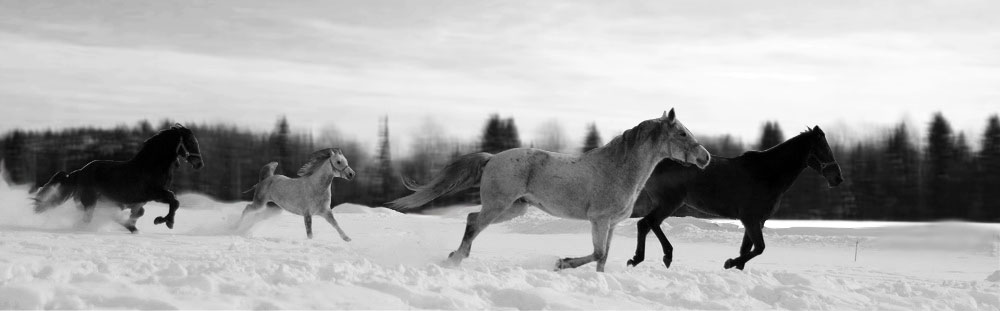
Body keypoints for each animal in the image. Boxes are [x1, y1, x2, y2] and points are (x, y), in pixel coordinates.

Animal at [33, 123, 205, 233]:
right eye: (190, 141)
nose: (199, 164)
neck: (151, 166)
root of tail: (80, 171)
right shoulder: (155, 193)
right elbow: (175, 201)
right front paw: (166, 222)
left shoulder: (143, 200)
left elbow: (140, 213)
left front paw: (143, 224)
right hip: (91, 200)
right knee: (88, 218)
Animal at [390, 110, 712, 272]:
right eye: (681, 133)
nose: (705, 158)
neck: (618, 169)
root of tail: (492, 158)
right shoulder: (599, 220)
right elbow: (597, 253)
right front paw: (562, 263)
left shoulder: (610, 224)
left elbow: (603, 258)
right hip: (499, 205)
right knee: (473, 224)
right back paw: (456, 260)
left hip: (513, 208)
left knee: (471, 219)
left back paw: (457, 256)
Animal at [628, 125, 840, 270]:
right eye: (823, 149)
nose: (838, 178)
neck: (767, 174)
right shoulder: (751, 219)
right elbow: (759, 248)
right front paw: (730, 262)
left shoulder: (756, 221)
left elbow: (747, 250)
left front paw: (735, 264)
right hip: (669, 202)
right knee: (648, 223)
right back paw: (663, 256)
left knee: (645, 224)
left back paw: (640, 258)